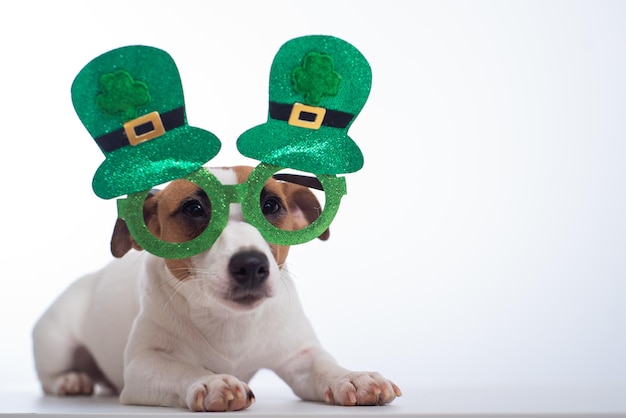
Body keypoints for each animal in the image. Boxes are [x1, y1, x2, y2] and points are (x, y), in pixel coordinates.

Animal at [31, 167, 402, 412]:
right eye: (194, 208)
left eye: (271, 206)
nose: (251, 265)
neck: (229, 321)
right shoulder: (144, 365)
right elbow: (182, 368)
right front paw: (211, 381)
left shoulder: (300, 355)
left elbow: (323, 366)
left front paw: (352, 378)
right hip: (56, 340)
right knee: (52, 375)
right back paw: (71, 380)